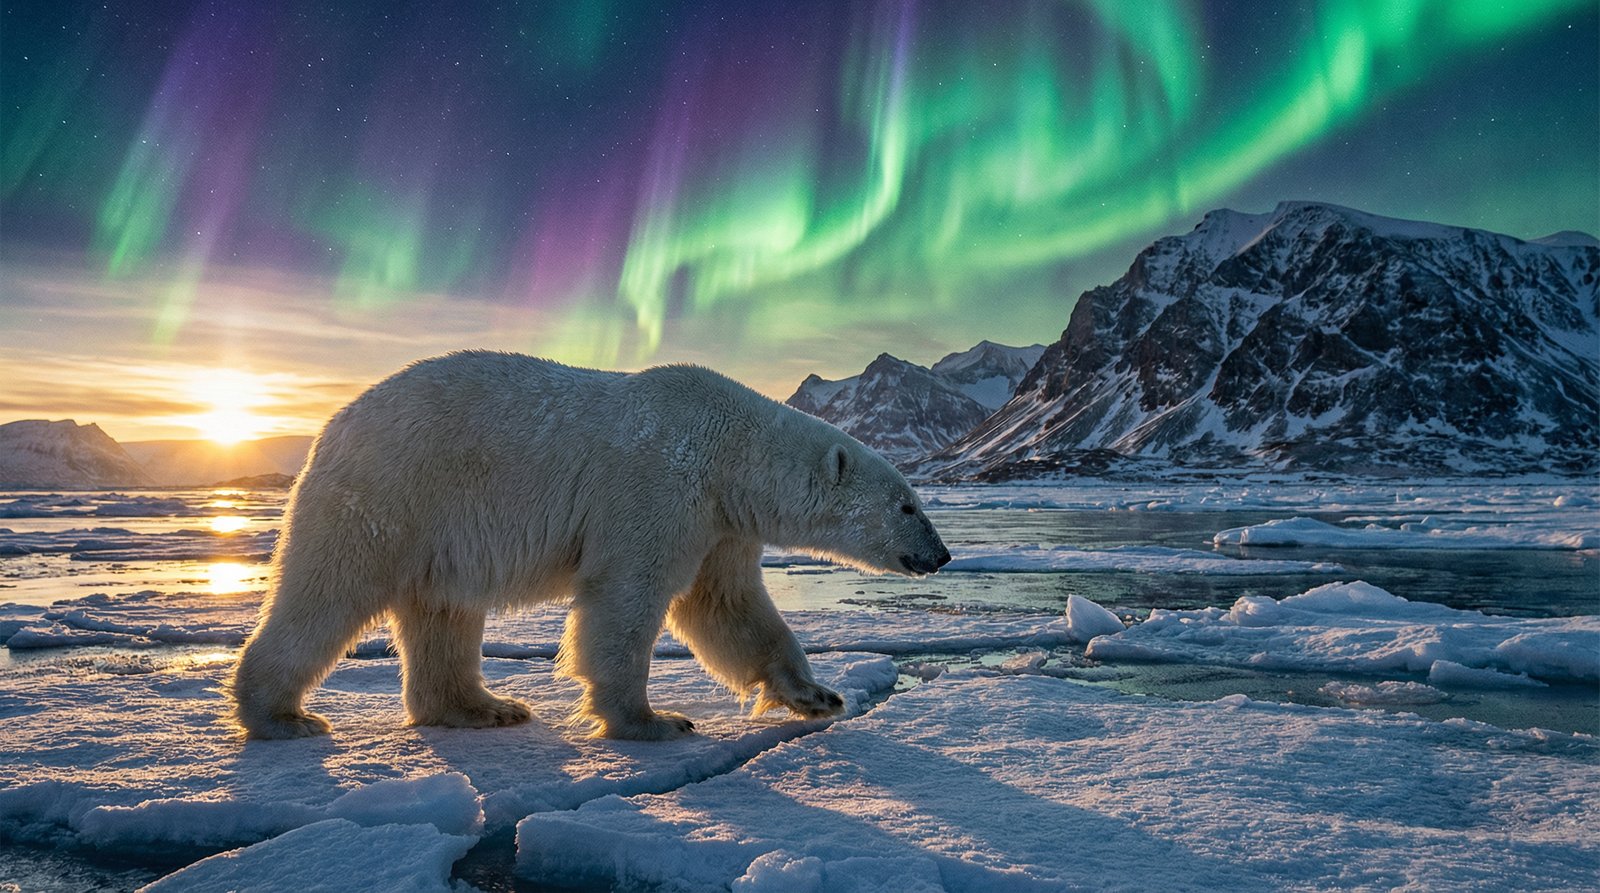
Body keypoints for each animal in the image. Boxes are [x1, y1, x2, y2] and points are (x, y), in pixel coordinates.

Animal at [231, 351, 950, 741]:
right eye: (908, 504)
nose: (940, 554)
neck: (728, 451)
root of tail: (331, 426)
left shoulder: (720, 524)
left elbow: (728, 607)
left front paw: (817, 695)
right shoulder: (657, 486)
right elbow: (626, 599)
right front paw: (655, 720)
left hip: (439, 529)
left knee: (444, 612)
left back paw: (485, 706)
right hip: (392, 495)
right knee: (328, 592)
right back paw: (281, 715)